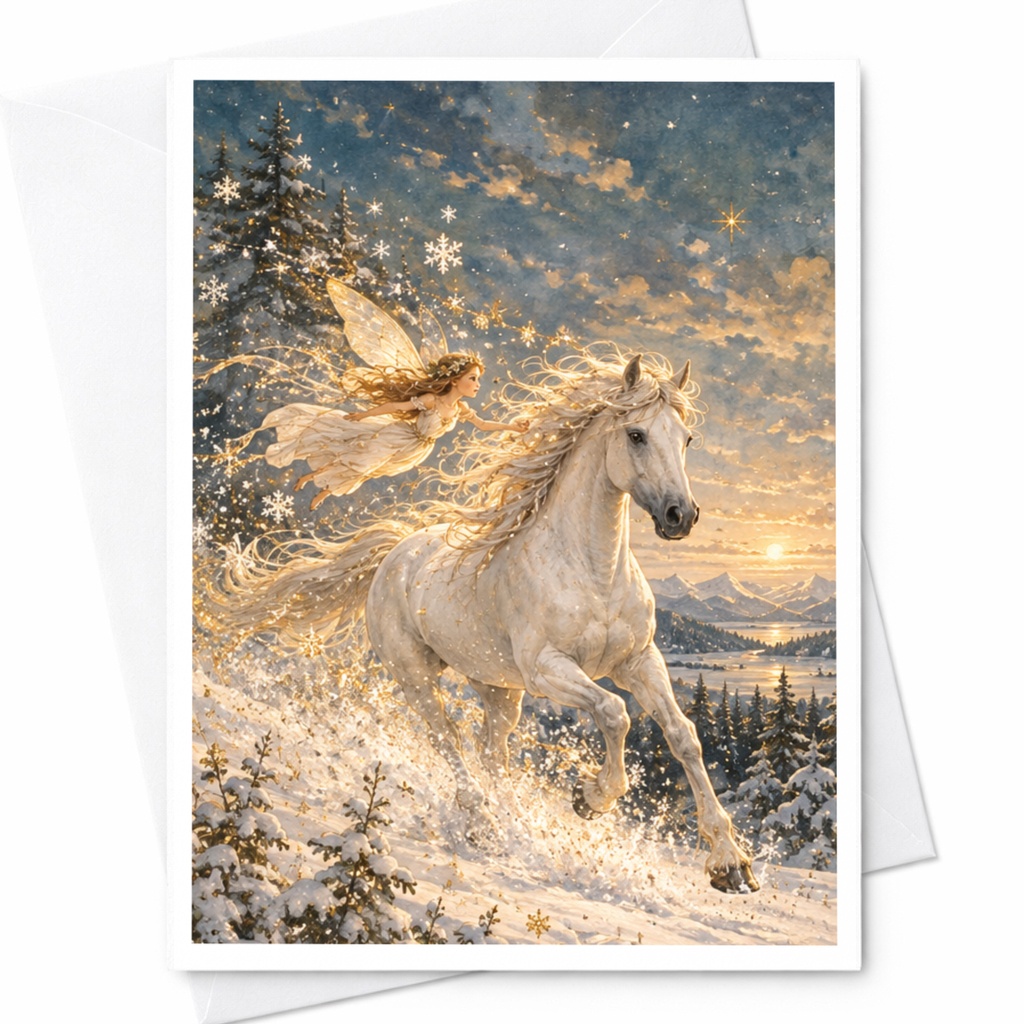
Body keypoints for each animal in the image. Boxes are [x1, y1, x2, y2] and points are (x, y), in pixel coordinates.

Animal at [217, 349, 758, 893]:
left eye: (686, 439)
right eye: (636, 435)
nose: (680, 516)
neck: (593, 571)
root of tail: (393, 553)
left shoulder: (640, 662)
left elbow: (682, 735)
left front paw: (730, 863)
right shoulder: (547, 669)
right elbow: (613, 712)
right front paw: (591, 798)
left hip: (499, 689)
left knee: (491, 753)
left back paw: (520, 833)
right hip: (417, 677)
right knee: (450, 742)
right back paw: (484, 826)